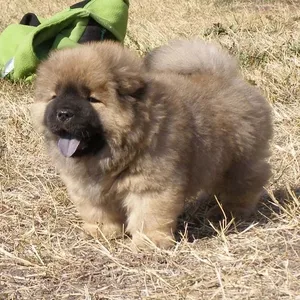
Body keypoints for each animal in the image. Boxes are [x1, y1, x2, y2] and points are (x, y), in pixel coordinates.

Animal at [31, 40, 274, 251]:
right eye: (55, 96)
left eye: (92, 99)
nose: (63, 113)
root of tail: (227, 77)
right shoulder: (87, 189)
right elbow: (97, 211)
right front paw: (101, 232)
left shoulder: (150, 186)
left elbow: (149, 215)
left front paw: (149, 242)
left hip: (241, 161)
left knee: (246, 185)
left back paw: (229, 213)